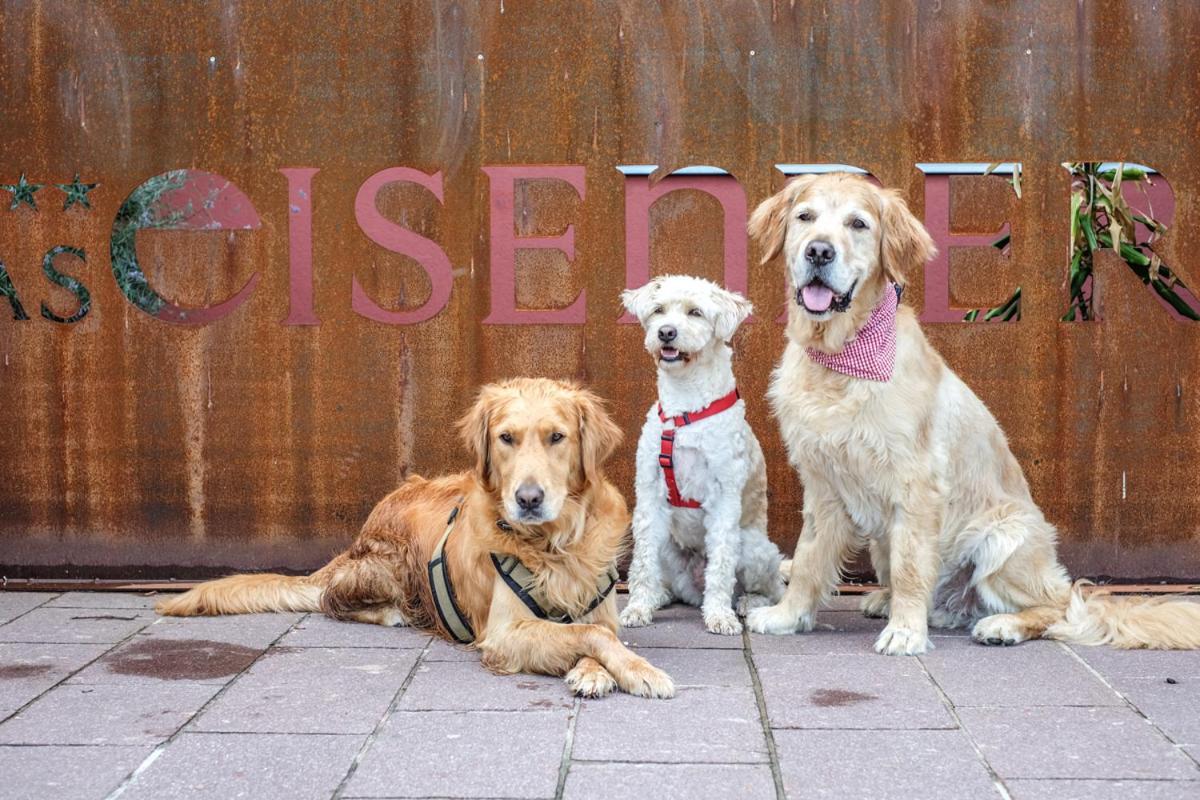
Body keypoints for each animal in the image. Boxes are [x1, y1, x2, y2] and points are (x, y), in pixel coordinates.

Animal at [619, 277, 787, 638]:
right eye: (658, 310)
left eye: (695, 312)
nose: (666, 332)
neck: (685, 410)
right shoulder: (649, 498)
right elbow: (642, 563)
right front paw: (638, 607)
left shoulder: (724, 499)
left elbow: (721, 565)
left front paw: (719, 616)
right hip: (667, 542)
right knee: (668, 581)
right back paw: (660, 596)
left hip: (754, 546)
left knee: (771, 589)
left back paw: (746, 603)